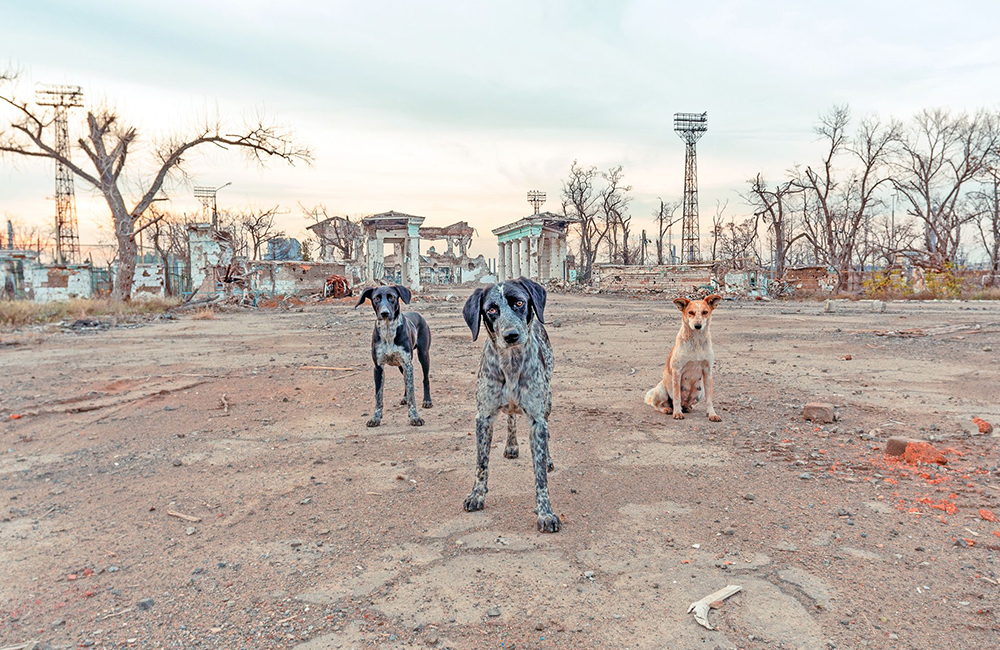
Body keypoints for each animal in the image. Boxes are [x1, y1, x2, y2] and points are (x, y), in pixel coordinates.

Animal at [356, 284, 430, 426]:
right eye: (376, 298)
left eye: (392, 297)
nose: (385, 313)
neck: (388, 330)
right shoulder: (378, 367)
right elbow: (378, 395)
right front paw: (376, 417)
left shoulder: (408, 364)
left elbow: (412, 394)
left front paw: (414, 416)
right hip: (401, 366)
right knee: (406, 381)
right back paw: (404, 398)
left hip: (423, 356)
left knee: (425, 379)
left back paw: (427, 400)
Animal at [462, 274, 564, 532]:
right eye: (491, 309)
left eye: (519, 303)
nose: (511, 335)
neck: (511, 363)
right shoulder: (483, 417)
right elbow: (481, 464)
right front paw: (477, 495)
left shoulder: (537, 420)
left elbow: (540, 476)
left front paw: (545, 513)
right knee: (510, 417)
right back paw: (511, 445)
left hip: (548, 402)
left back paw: (548, 458)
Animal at [644, 292, 724, 420]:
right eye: (690, 312)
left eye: (705, 312)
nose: (698, 326)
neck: (696, 342)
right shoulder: (677, 371)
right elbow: (676, 396)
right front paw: (677, 413)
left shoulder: (708, 371)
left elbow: (709, 399)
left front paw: (712, 414)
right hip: (661, 389)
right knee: (657, 405)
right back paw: (668, 409)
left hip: (700, 393)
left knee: (686, 404)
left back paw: (686, 408)